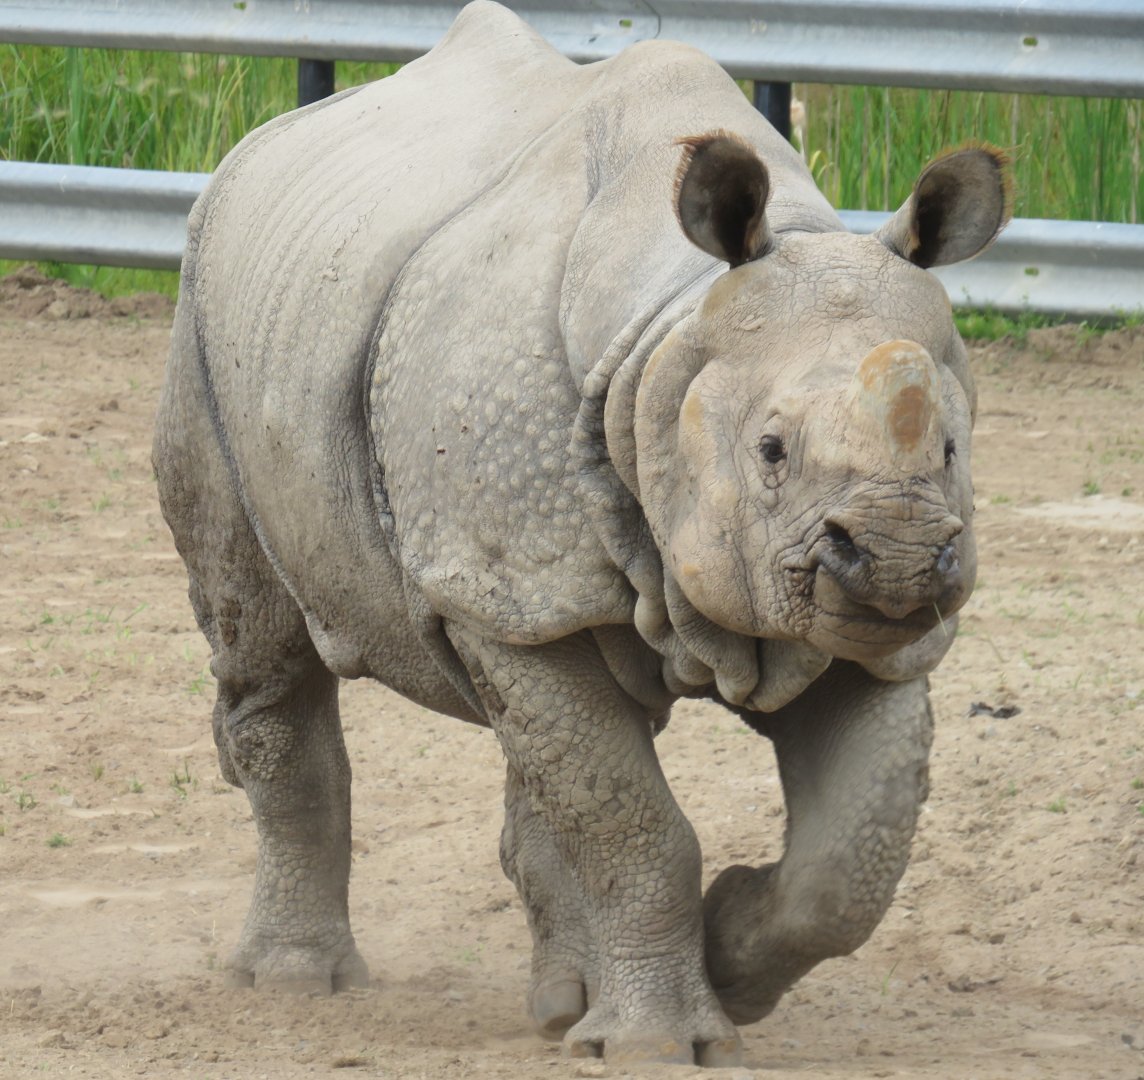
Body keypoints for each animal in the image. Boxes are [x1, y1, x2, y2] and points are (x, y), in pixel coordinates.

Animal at [154, 0, 1009, 1067]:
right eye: (769, 450)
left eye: (950, 447)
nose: (896, 557)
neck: (665, 332)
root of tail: (252, 149)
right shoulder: (510, 585)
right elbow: (633, 821)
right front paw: (662, 1045)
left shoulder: (864, 627)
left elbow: (856, 848)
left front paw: (730, 956)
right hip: (204, 318)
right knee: (266, 634)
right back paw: (297, 985)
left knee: (551, 749)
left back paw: (564, 1006)